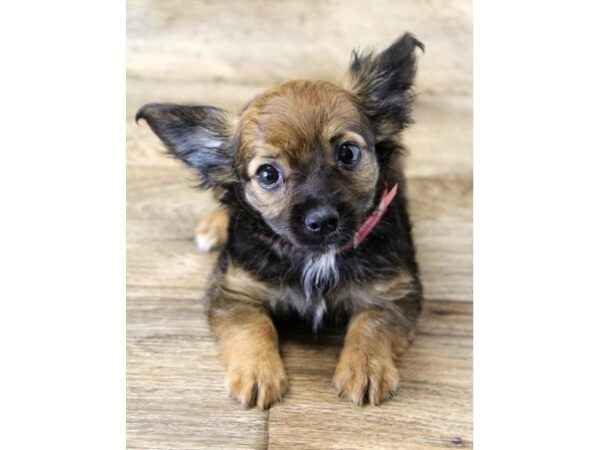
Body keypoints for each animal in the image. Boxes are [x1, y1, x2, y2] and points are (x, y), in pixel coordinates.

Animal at [138, 33, 424, 410]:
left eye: (348, 153)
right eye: (268, 174)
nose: (322, 220)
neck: (318, 257)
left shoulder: (395, 291)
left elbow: (371, 323)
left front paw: (365, 368)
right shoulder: (234, 290)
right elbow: (253, 326)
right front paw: (257, 373)